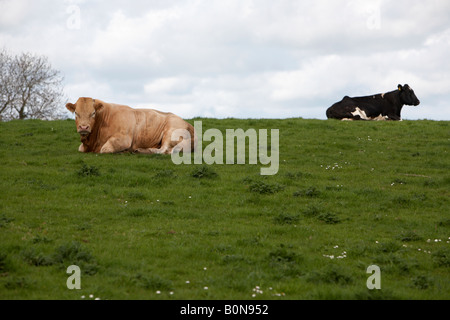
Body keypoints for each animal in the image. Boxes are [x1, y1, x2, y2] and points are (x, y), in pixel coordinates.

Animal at [66, 96, 196, 154]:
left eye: (93, 113)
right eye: (76, 113)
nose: (84, 127)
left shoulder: (123, 139)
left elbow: (105, 149)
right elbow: (80, 149)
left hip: (170, 132)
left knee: (164, 150)